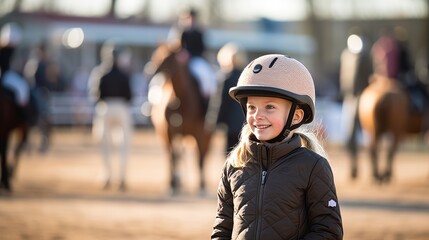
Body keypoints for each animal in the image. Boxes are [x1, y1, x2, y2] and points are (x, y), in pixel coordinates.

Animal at [146, 44, 213, 196]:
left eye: (168, 58)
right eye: (155, 54)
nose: (150, 70)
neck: (178, 98)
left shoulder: (199, 133)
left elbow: (199, 158)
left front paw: (201, 186)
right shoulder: (168, 132)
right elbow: (173, 157)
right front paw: (172, 184)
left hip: (204, 135)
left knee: (203, 155)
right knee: (173, 155)